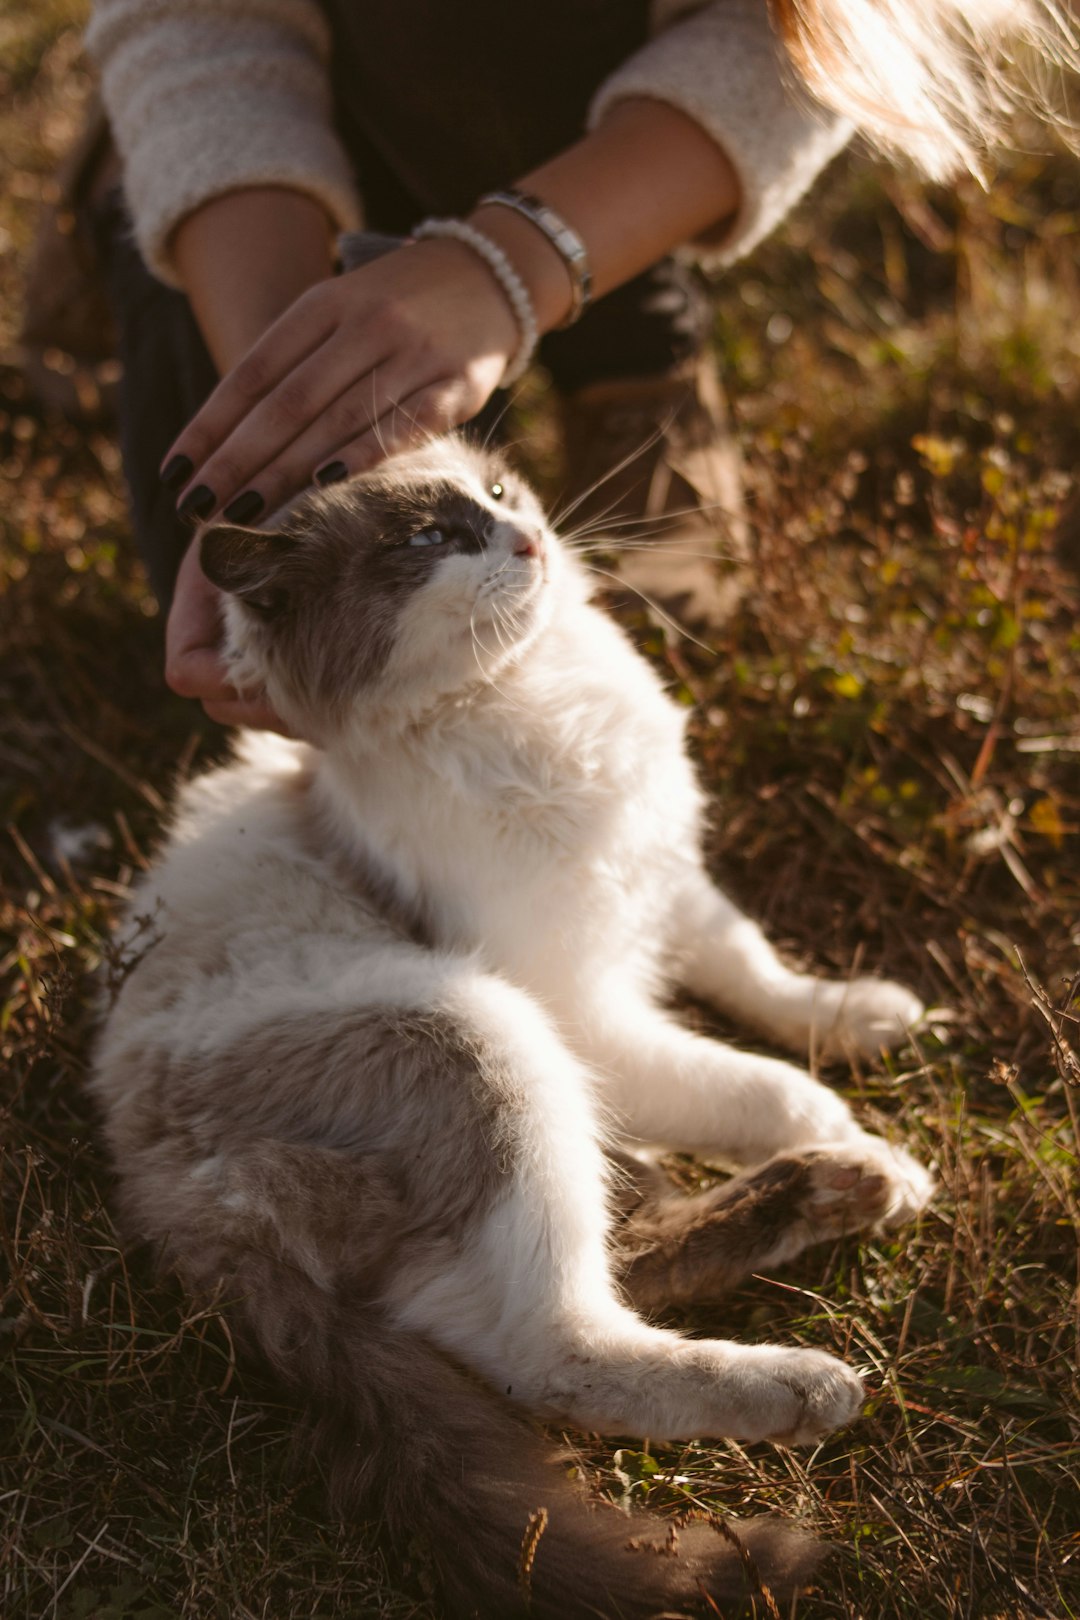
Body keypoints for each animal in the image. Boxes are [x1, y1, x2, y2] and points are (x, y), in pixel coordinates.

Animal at [97, 440, 932, 1620]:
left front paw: (862, 1020)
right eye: (423, 542)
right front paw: (843, 1117)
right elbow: (758, 1081)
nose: (529, 540)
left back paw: (846, 1189)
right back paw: (811, 1362)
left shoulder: (669, 890)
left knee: (613, 1261)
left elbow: (762, 974)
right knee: (549, 1348)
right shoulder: (584, 1007)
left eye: (494, 495)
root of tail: (156, 1185)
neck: (532, 701)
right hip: (489, 1042)